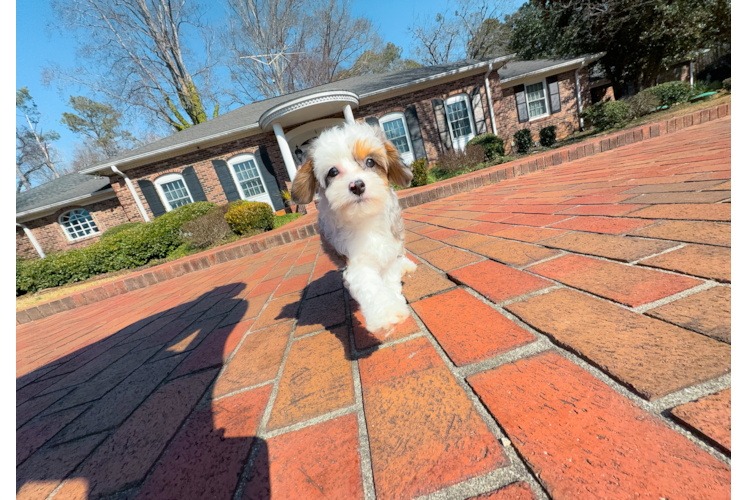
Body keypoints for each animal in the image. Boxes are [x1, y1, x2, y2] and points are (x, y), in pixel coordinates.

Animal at [290, 120, 418, 332]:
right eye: (333, 172)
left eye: (370, 162)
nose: (356, 185)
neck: (365, 218)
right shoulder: (355, 260)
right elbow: (369, 285)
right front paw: (387, 313)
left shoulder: (390, 249)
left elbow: (390, 277)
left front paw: (395, 300)